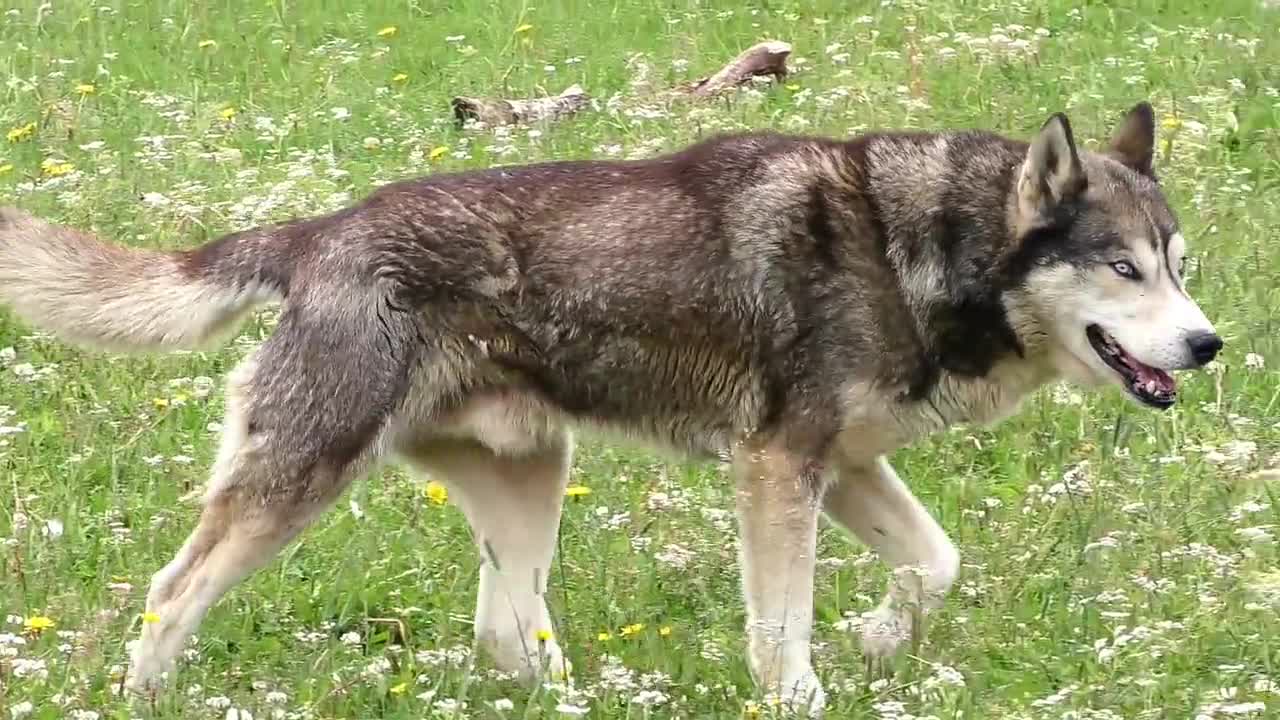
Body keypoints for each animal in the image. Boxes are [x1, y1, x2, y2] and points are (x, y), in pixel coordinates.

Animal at [0, 101, 1218, 712]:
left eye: (1177, 266)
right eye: (1121, 270)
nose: (1207, 345)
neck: (910, 246)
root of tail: (315, 234)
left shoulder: (842, 466)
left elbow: (935, 565)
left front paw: (877, 640)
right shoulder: (780, 471)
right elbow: (781, 634)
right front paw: (809, 686)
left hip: (530, 485)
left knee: (505, 637)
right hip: (297, 482)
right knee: (170, 595)